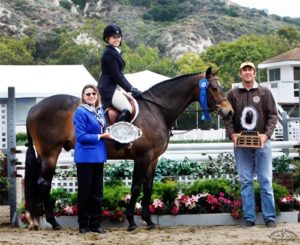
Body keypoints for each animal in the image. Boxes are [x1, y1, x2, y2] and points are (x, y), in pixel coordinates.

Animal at [24, 68, 233, 231]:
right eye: (214, 88)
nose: (229, 112)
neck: (157, 110)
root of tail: (33, 109)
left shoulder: (153, 159)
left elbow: (148, 188)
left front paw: (149, 220)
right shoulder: (142, 157)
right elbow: (135, 187)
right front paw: (132, 221)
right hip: (51, 154)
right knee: (44, 184)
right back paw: (52, 222)